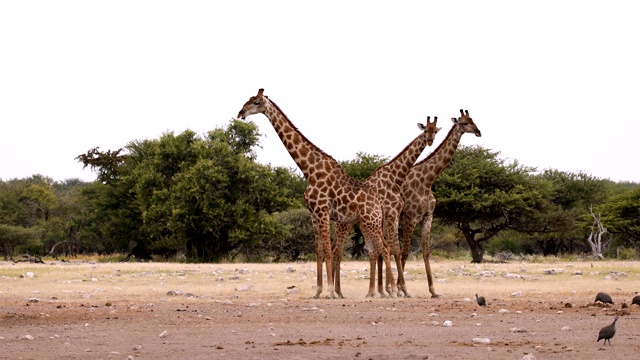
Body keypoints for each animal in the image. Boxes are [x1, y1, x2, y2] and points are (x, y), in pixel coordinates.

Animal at [235, 89, 396, 298]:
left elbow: (328, 250)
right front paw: (318, 291)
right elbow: (319, 251)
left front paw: (330, 292)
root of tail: (379, 204)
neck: (309, 170)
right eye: (247, 100)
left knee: (384, 247)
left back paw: (394, 291)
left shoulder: (322, 211)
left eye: (255, 102)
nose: (240, 113)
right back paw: (372, 293)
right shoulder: (313, 214)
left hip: (372, 222)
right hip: (365, 224)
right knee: (375, 249)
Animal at [330, 116, 440, 298]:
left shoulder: (394, 216)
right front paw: (397, 290)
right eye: (425, 130)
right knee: (337, 250)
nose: (430, 140)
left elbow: (389, 248)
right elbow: (393, 248)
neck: (395, 176)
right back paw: (337, 291)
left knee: (342, 249)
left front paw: (387, 290)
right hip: (344, 224)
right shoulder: (391, 215)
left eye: (435, 131)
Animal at [400, 108, 480, 296]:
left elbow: (426, 252)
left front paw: (433, 291)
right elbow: (404, 252)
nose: (479, 132)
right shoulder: (410, 218)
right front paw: (402, 290)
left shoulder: (428, 217)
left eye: (473, 120)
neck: (427, 181)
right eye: (464, 123)